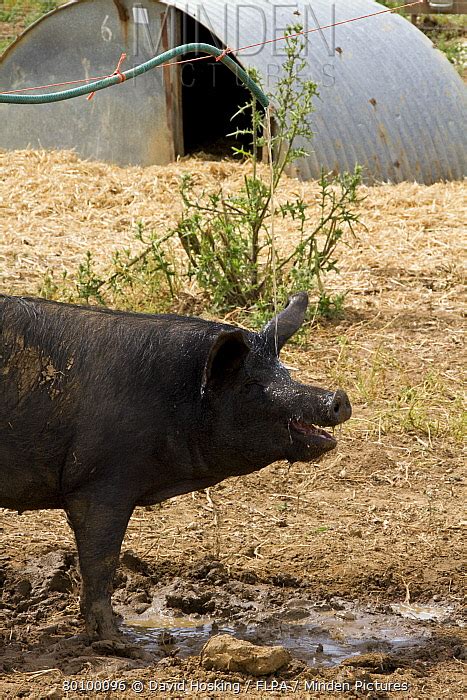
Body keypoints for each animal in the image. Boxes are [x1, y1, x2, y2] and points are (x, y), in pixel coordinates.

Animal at [0, 292, 352, 640]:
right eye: (251, 385)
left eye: (286, 374)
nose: (337, 397)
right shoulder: (99, 484)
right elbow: (102, 562)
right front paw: (119, 641)